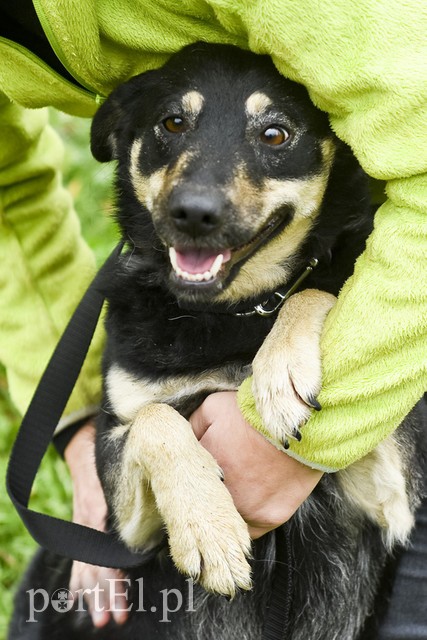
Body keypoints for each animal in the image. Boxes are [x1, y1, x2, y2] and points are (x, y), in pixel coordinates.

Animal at [10, 42, 427, 636]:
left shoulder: (390, 493)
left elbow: (314, 288)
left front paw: (282, 372)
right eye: (172, 122)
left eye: (274, 134)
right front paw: (208, 528)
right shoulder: (123, 521)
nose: (194, 213)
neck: (233, 312)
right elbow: (155, 420)